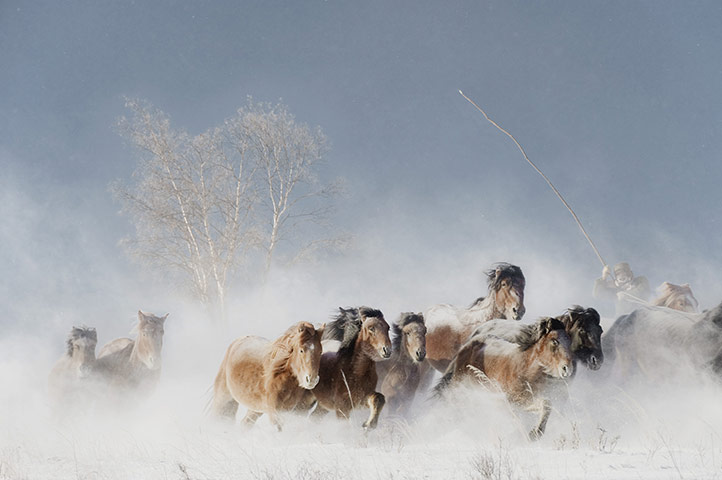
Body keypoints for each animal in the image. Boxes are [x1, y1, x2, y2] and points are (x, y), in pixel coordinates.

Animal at [435, 317, 573, 440]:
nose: (567, 369)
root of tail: (465, 348)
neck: (524, 370)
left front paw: (535, 432)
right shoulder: (512, 402)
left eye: (569, 342)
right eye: (554, 341)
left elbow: (546, 404)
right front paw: (534, 433)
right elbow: (542, 406)